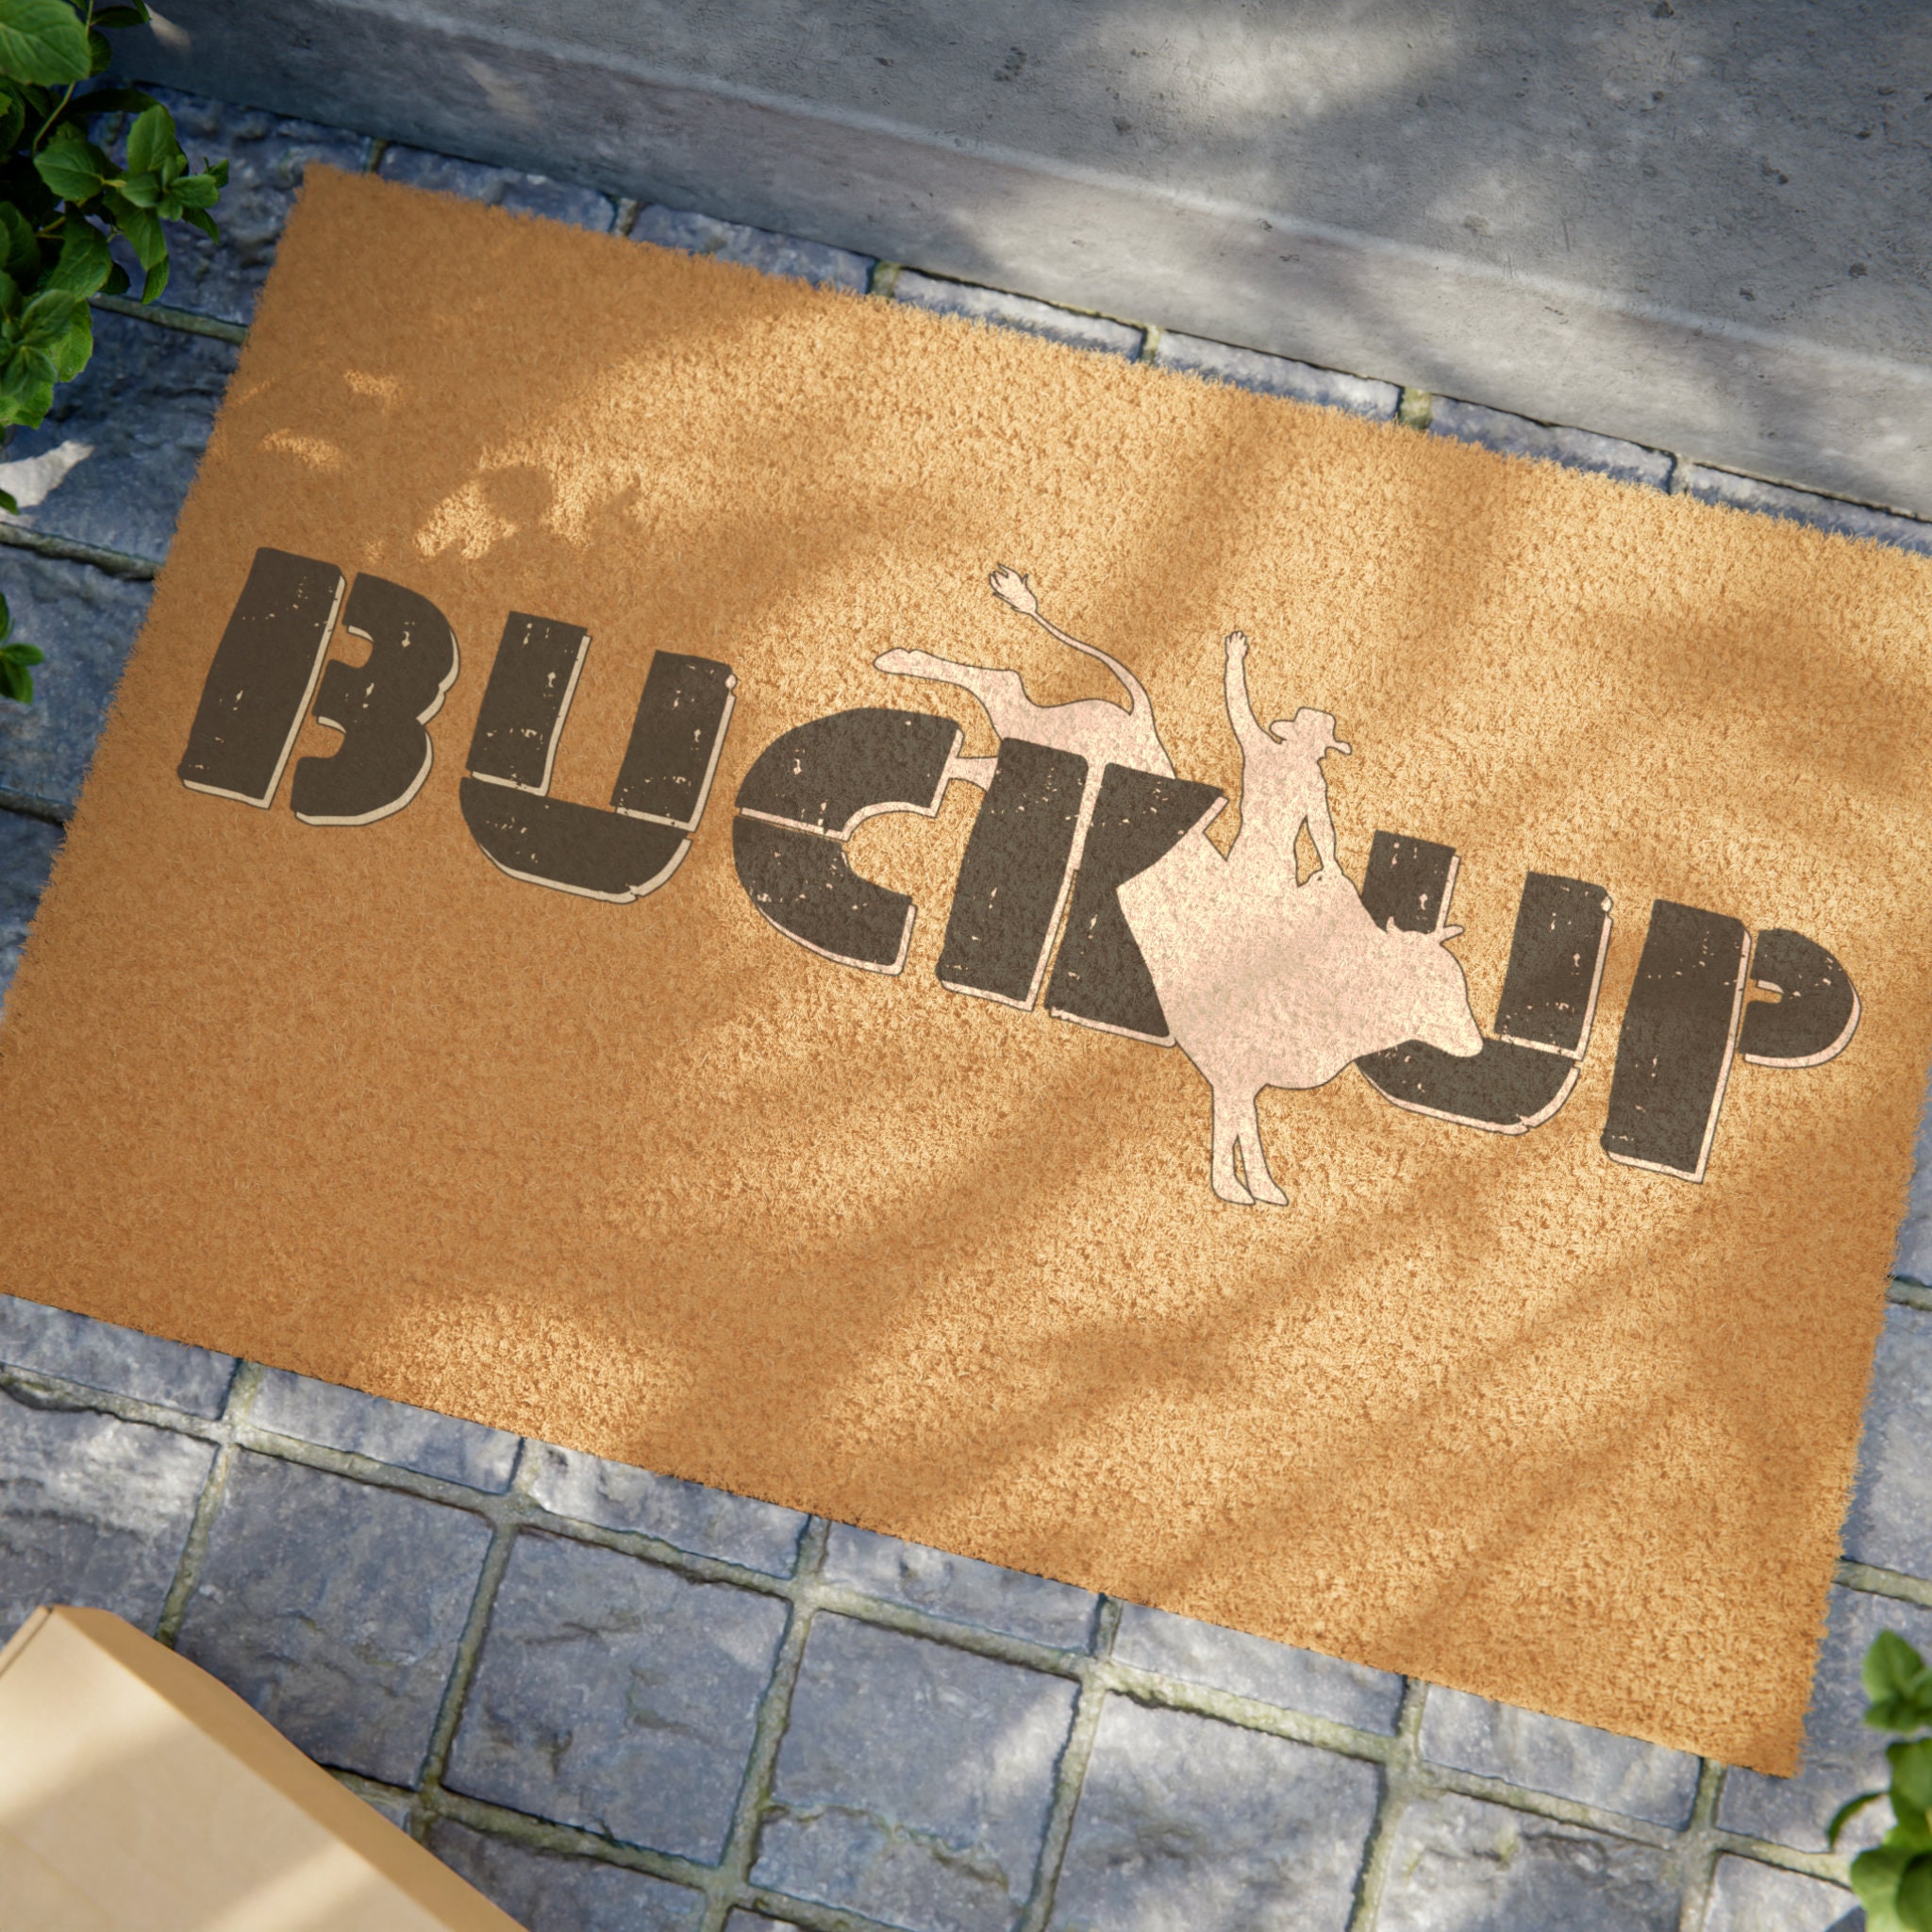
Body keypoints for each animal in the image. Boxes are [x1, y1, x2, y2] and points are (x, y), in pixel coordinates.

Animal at [1117, 629, 1483, 1207]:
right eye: (1435, 985)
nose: (1477, 1044)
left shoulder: (1240, 1075)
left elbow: (1239, 1126)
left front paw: (1259, 1189)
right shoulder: (1233, 1067)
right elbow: (1236, 1126)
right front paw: (1237, 1188)